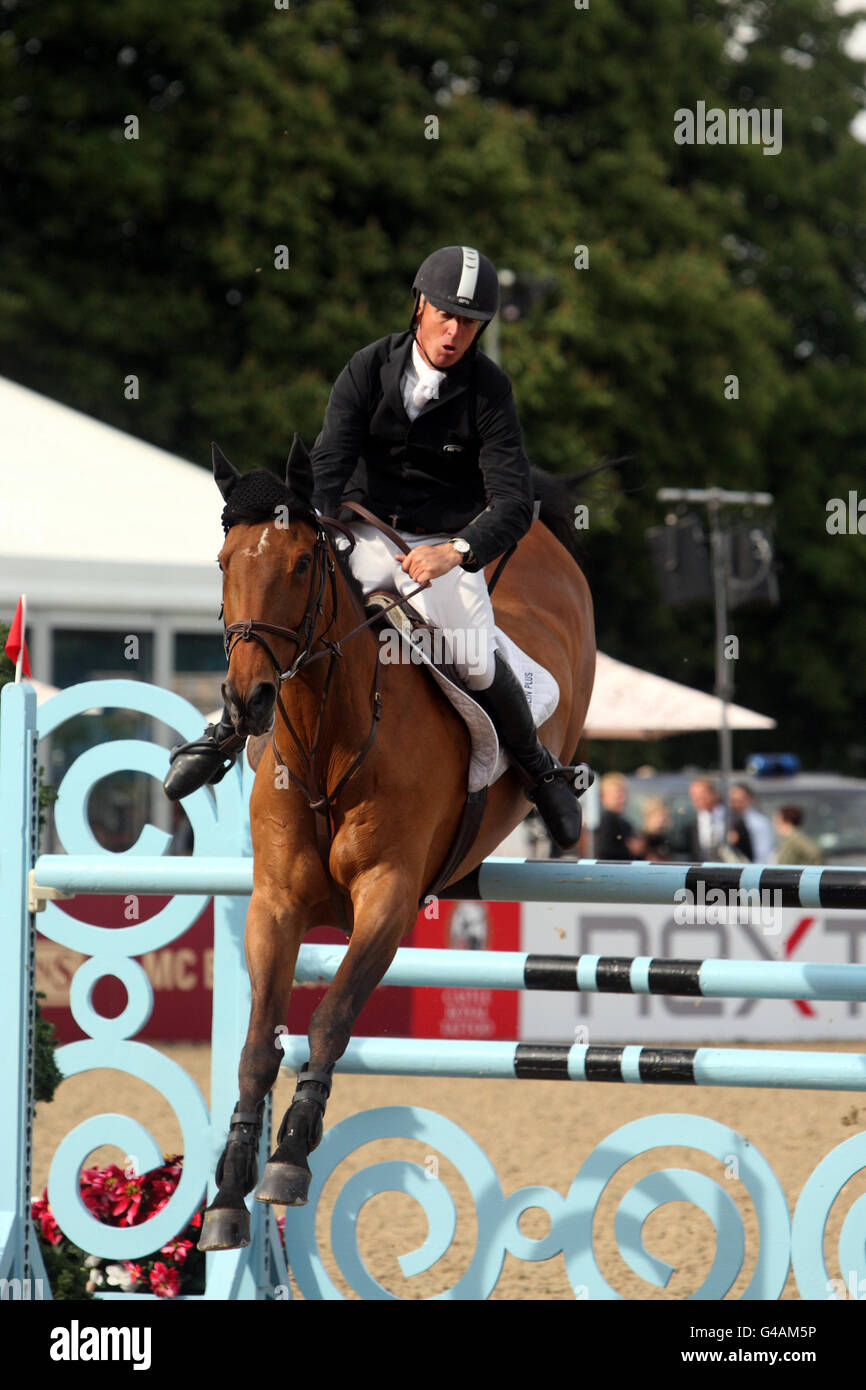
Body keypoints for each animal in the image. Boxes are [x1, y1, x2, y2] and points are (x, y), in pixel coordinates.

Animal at [197, 433, 594, 1251]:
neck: (328, 740)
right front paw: (229, 1189)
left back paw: (557, 798)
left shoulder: (389, 896)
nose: (247, 701)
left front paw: (290, 1156)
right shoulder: (274, 906)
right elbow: (257, 1043)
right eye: (224, 564)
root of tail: (543, 536)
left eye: (300, 566)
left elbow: (331, 1016)